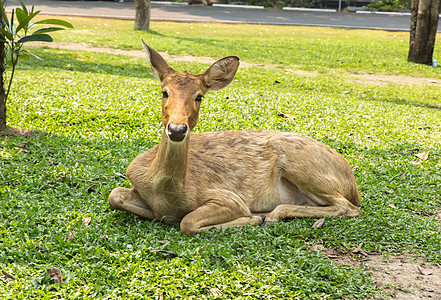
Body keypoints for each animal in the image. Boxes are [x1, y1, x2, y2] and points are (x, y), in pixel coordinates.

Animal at [107, 41, 360, 236]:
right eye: (164, 92)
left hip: (303, 165)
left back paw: (270, 215)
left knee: (348, 207)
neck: (166, 192)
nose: (177, 129)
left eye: (199, 96)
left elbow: (187, 222)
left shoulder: (227, 196)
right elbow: (114, 195)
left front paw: (252, 218)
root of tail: (352, 184)